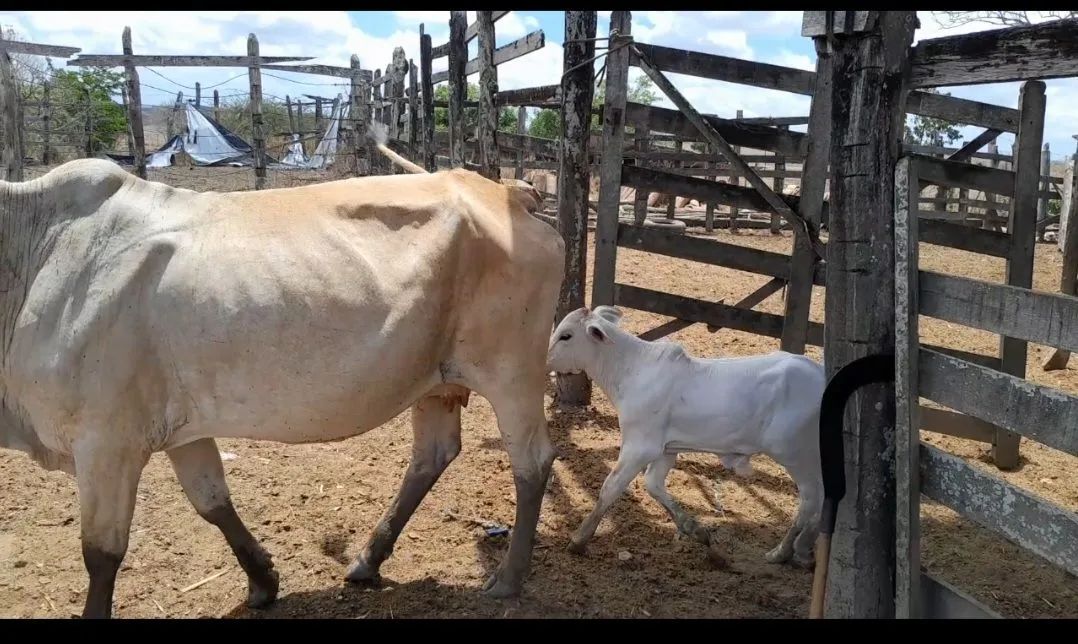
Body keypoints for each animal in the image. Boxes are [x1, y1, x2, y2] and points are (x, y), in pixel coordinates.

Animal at [0, 147, 565, 618]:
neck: (35, 250)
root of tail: (507, 192)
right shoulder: (176, 430)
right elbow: (212, 501)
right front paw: (264, 582)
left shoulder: (105, 441)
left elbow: (101, 555)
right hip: (437, 381)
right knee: (433, 455)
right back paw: (368, 560)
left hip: (511, 371)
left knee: (532, 463)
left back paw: (507, 578)